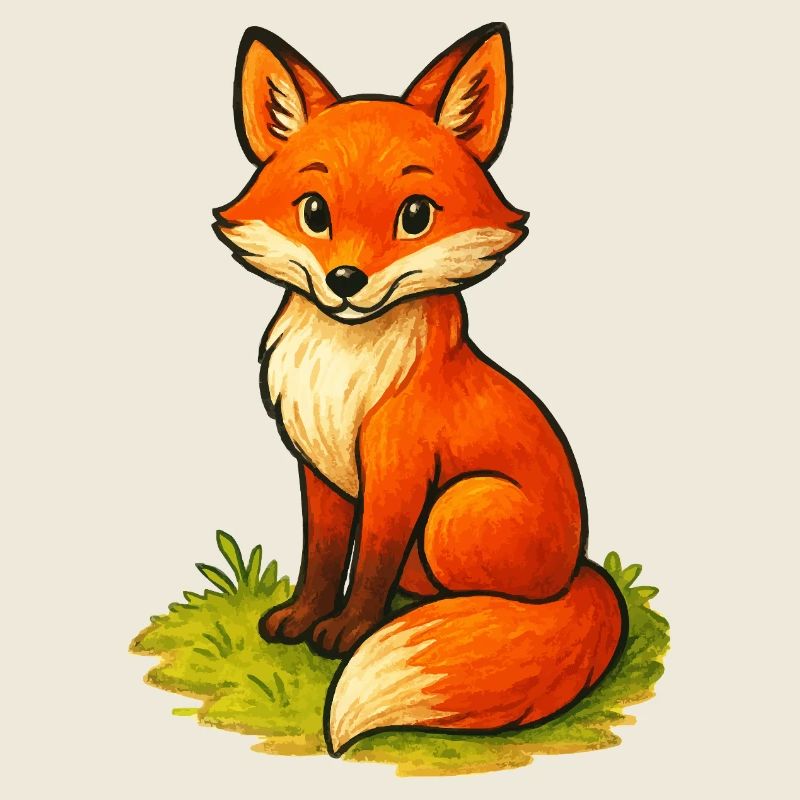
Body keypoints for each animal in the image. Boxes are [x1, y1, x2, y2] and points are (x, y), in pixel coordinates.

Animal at [213, 23, 627, 758]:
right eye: (314, 212)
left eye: (414, 216)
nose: (346, 281)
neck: (344, 369)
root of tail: (580, 569)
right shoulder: (318, 467)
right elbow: (324, 556)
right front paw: (303, 618)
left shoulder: (399, 467)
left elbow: (371, 561)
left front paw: (347, 634)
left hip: (457, 511)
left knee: (487, 597)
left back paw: (449, 614)